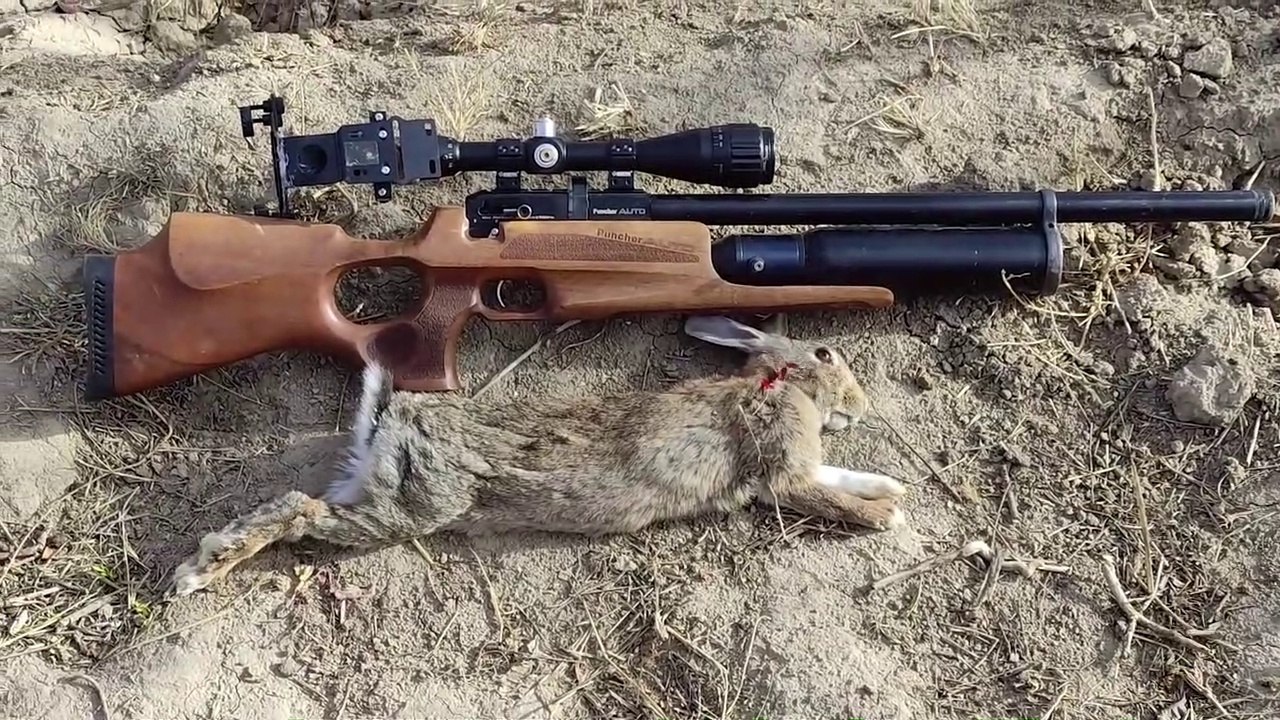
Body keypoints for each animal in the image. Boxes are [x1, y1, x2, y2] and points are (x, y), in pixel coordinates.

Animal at [172, 315, 907, 596]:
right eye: (827, 353)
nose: (863, 404)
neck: (775, 383)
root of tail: (393, 416)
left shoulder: (802, 465)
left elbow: (842, 474)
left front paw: (893, 488)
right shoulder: (782, 471)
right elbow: (822, 493)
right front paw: (890, 519)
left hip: (374, 486)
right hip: (413, 506)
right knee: (300, 509)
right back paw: (201, 572)